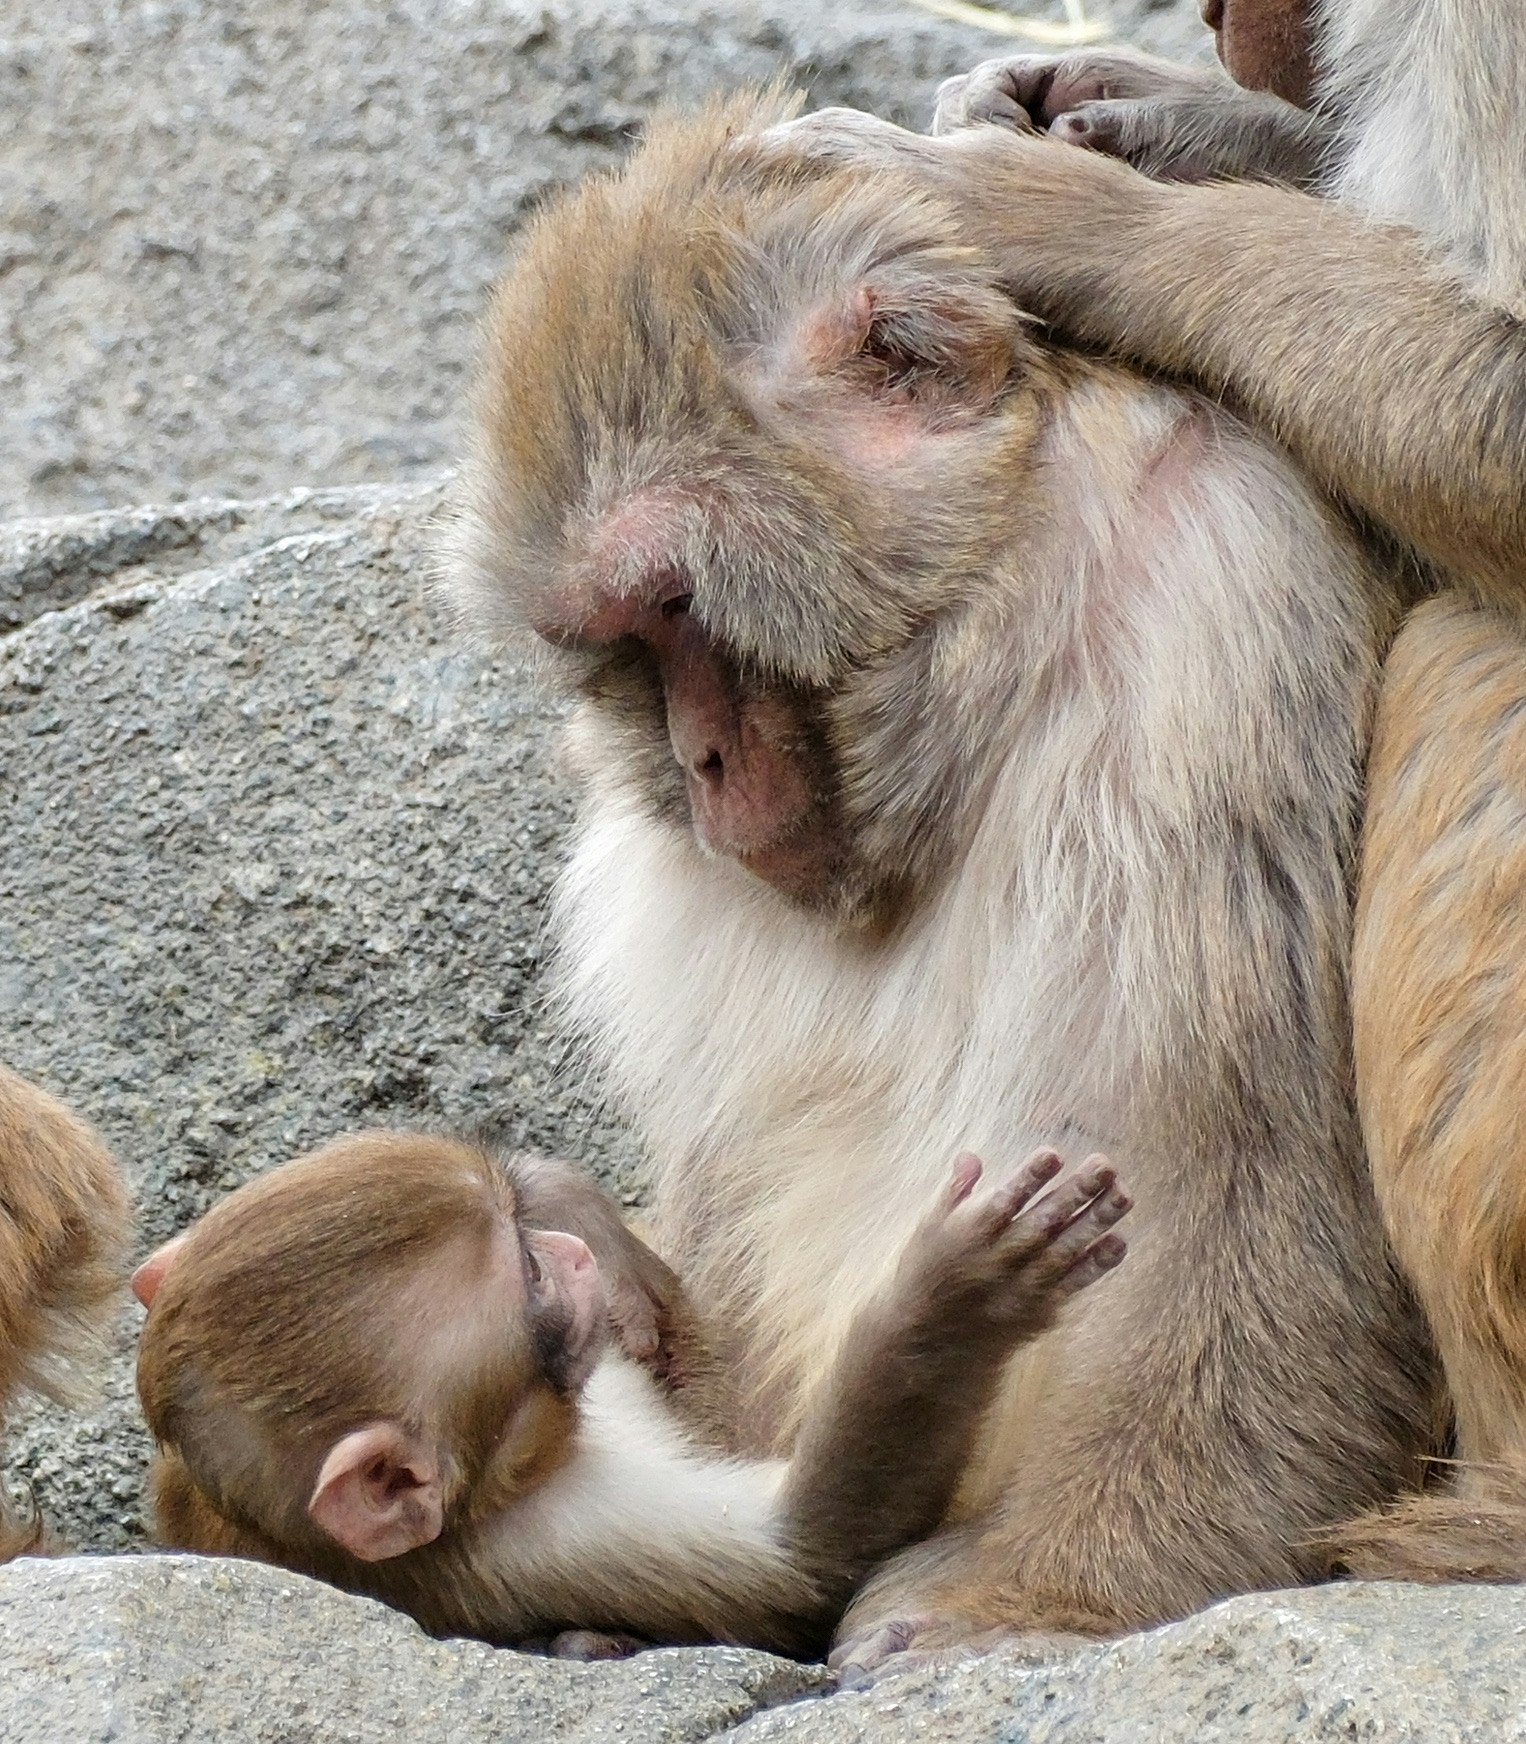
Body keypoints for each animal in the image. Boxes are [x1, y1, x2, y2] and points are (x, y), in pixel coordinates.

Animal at [133, 1128, 1131, 1656]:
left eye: (529, 1245)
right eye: (532, 1279)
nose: (569, 1257)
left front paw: (566, 1199)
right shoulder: (534, 1540)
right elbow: (806, 1552)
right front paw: (956, 1295)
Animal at [444, 91, 1440, 1671]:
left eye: (677, 604)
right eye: (622, 643)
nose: (701, 762)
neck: (995, 610)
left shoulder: (1208, 605)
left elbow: (1223, 1125)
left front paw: (1064, 1583)